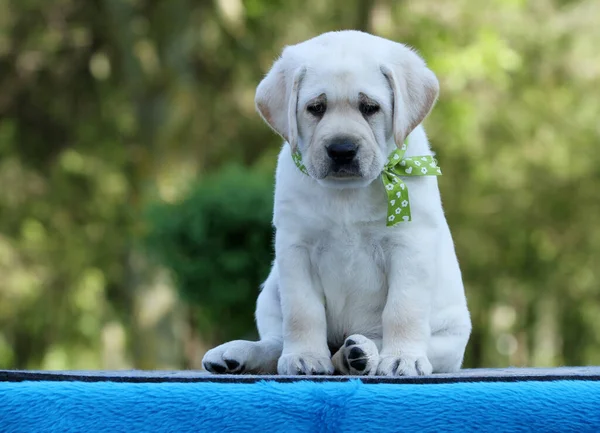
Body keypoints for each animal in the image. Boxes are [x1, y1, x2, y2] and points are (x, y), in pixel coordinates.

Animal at [204, 30, 472, 374]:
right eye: (316, 107)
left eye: (370, 107)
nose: (342, 149)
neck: (346, 193)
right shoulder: (296, 248)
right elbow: (302, 312)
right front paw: (304, 356)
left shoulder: (409, 246)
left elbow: (402, 310)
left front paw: (403, 358)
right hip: (270, 291)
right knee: (275, 343)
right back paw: (239, 353)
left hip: (449, 338)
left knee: (384, 339)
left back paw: (358, 353)